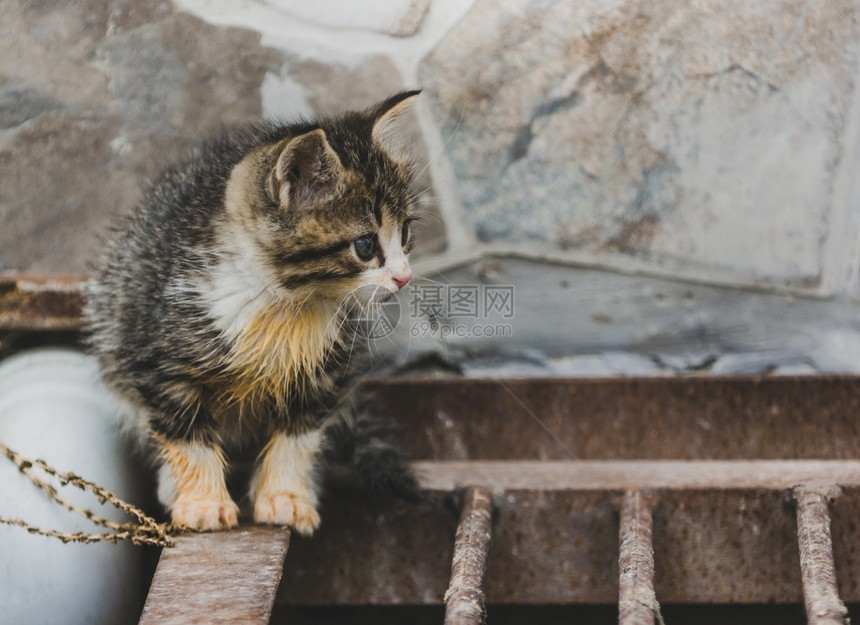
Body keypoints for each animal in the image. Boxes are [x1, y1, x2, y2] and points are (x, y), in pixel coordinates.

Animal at [87, 91, 424, 532]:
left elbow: (299, 436)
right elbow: (186, 435)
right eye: (365, 245)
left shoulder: (325, 370)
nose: (404, 276)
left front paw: (285, 497)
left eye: (405, 232)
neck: (283, 302)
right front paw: (203, 503)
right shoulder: (155, 356)